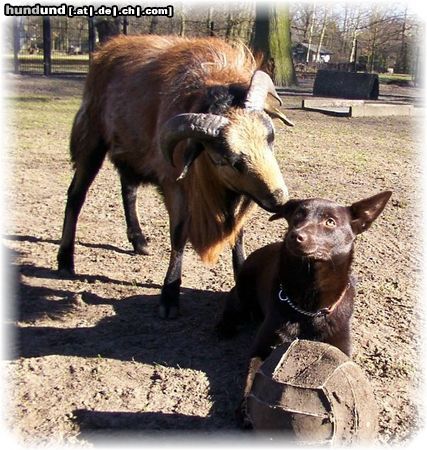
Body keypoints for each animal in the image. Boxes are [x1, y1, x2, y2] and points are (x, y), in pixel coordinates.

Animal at [219, 190, 392, 408]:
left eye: (330, 222)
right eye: (298, 215)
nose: (295, 236)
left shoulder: (340, 348)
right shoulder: (262, 346)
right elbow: (252, 376)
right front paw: (246, 407)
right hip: (244, 290)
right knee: (233, 301)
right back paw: (226, 325)